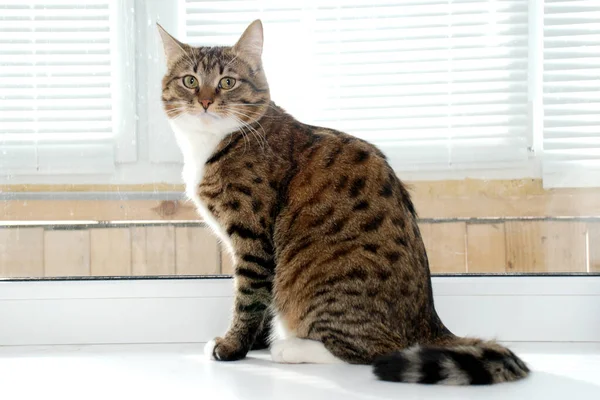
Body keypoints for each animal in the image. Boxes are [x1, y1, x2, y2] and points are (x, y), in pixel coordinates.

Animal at [157, 21, 528, 384]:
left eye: (227, 82)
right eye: (190, 81)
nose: (205, 101)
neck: (211, 143)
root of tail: (429, 322)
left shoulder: (253, 238)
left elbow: (248, 298)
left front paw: (234, 345)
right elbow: (261, 300)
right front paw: (255, 342)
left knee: (374, 351)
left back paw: (291, 347)